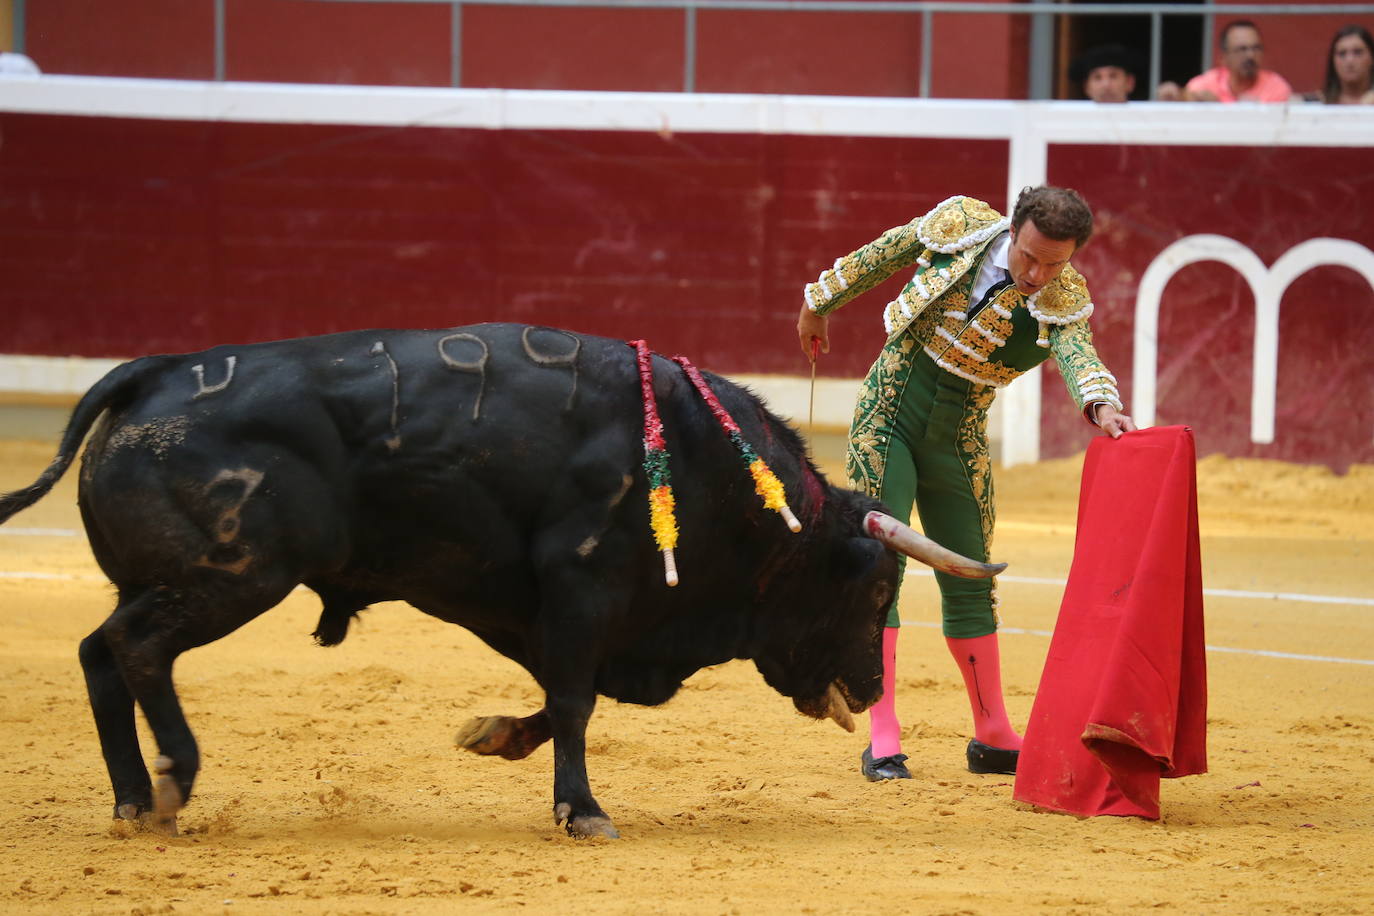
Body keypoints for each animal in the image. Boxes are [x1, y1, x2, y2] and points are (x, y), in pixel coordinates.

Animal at [5, 322, 1005, 840]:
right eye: (872, 593)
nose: (871, 687)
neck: (703, 465)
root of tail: (155, 373)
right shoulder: (581, 589)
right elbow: (574, 702)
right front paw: (584, 810)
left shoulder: (566, 617)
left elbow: (563, 701)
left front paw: (493, 737)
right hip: (238, 574)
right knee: (137, 647)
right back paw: (173, 781)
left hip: (171, 579)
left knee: (98, 652)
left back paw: (133, 801)